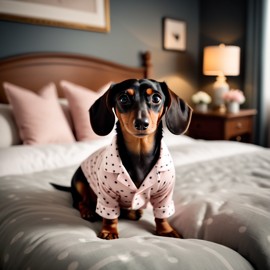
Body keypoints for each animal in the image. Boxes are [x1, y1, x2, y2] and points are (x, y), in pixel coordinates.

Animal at [52, 79, 192, 239]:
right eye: (123, 98)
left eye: (156, 98)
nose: (141, 123)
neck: (140, 155)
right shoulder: (107, 194)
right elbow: (110, 215)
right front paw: (109, 231)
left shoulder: (165, 193)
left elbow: (162, 214)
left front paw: (166, 230)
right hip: (79, 181)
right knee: (79, 202)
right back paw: (88, 211)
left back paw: (133, 212)